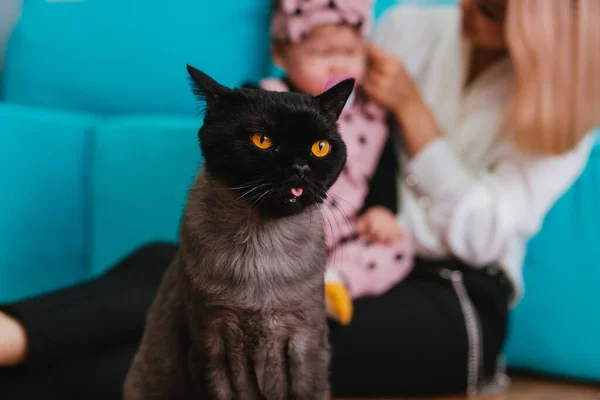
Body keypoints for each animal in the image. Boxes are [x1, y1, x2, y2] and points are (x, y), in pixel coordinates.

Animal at [123, 64, 354, 398]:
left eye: (320, 147)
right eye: (262, 140)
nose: (300, 169)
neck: (263, 252)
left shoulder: (305, 344)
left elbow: (306, 388)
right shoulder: (213, 345)